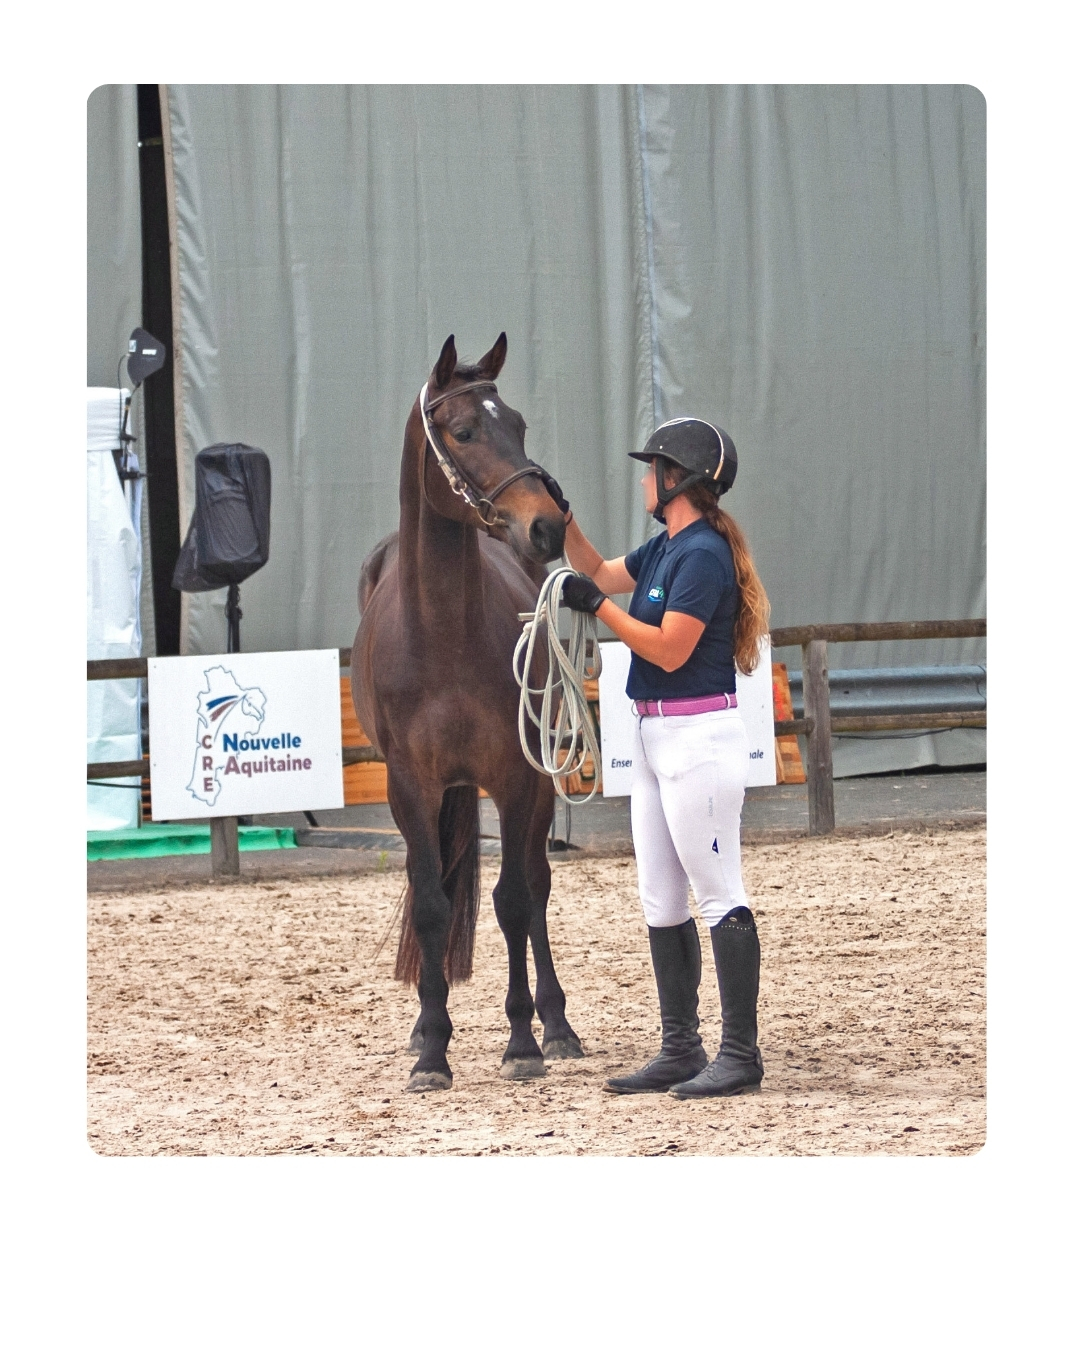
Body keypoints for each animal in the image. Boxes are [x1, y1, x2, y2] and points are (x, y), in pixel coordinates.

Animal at [351, 332, 584, 1091]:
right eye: (463, 431)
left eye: (519, 425)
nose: (547, 525)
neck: (442, 632)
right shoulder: (411, 788)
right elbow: (431, 904)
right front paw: (431, 1049)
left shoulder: (513, 777)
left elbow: (514, 900)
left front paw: (523, 1042)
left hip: (538, 785)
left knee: (536, 888)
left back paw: (557, 1025)